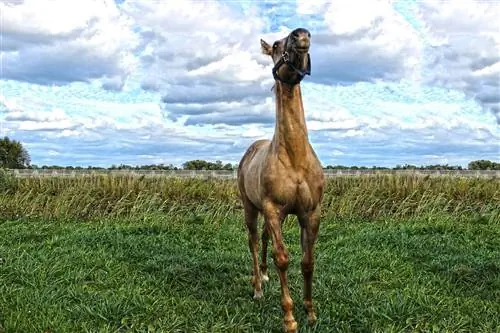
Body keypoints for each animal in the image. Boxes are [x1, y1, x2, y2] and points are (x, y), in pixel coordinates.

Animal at [237, 28, 326, 332]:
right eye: (276, 45)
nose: (301, 35)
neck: (295, 158)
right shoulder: (273, 210)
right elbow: (283, 259)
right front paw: (289, 318)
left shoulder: (310, 213)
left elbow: (308, 261)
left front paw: (310, 312)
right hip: (251, 208)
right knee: (253, 241)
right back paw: (257, 287)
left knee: (263, 238)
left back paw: (264, 276)